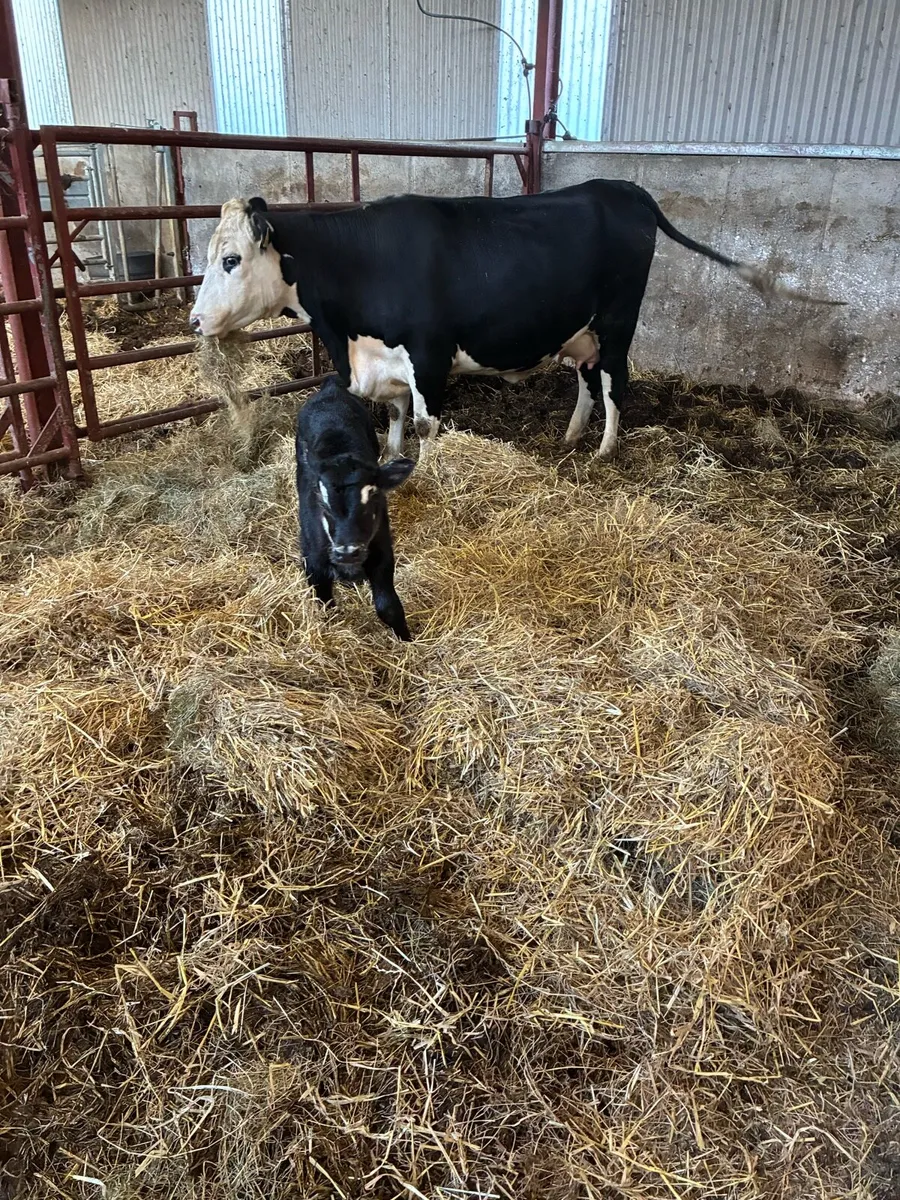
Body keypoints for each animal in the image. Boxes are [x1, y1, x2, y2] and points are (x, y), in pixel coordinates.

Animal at [191, 180, 841, 461]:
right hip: (581, 329)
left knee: (614, 383)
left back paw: (604, 451)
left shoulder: (428, 357)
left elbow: (424, 426)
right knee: (585, 378)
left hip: (618, 323)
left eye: (232, 259)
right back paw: (571, 437)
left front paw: (429, 474)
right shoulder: (384, 364)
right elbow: (395, 421)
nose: (195, 322)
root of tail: (623, 187)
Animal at [296, 376, 415, 640]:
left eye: (372, 496)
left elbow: (389, 607)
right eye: (323, 502)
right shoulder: (313, 560)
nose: (348, 552)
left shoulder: (382, 552)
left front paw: (408, 640)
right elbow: (324, 603)